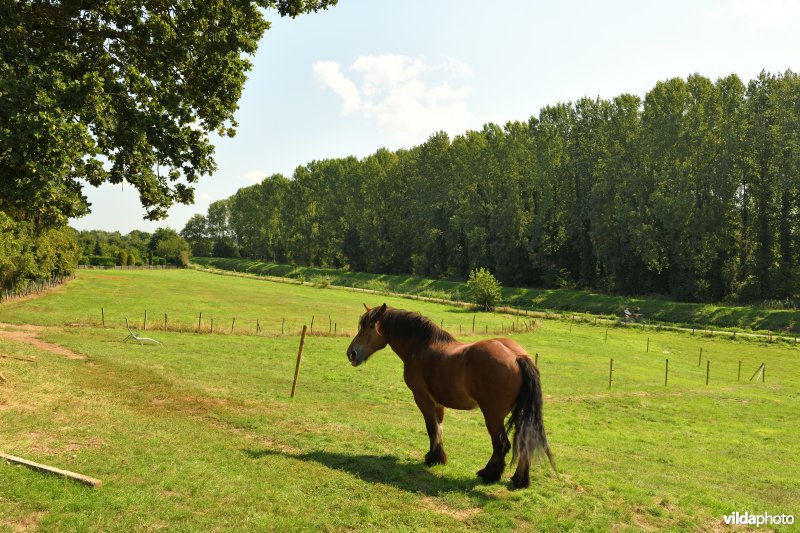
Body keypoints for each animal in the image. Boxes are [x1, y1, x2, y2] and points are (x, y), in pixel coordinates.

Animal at [344, 302, 556, 488]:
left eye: (370, 326)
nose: (351, 353)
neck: (421, 346)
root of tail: (517, 356)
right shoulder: (439, 403)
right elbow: (439, 429)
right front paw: (439, 457)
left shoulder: (423, 399)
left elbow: (431, 428)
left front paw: (432, 459)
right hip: (520, 413)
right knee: (524, 443)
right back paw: (519, 480)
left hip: (493, 415)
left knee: (501, 444)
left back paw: (489, 474)